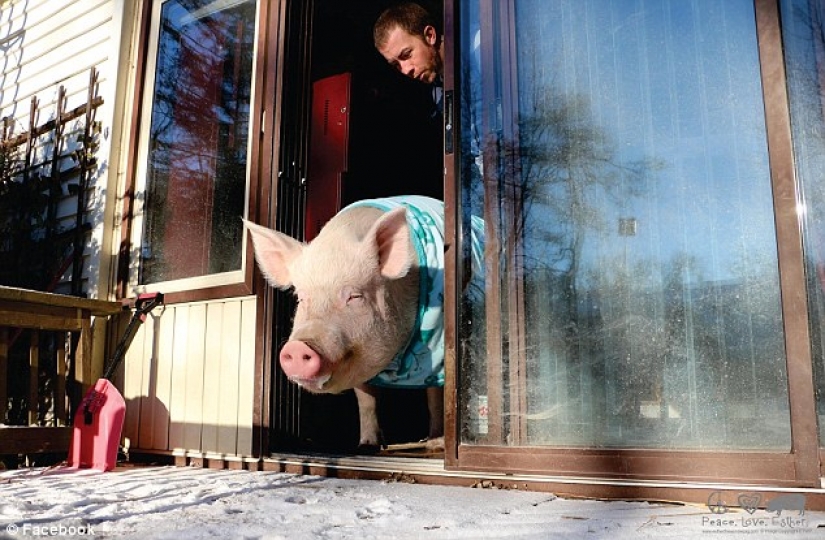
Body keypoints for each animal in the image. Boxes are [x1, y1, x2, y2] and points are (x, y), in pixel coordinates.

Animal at [243, 195, 470, 452]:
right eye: (301, 298)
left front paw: (436, 446)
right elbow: (366, 400)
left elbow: (435, 396)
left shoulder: (437, 347)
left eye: (354, 296)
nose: (298, 347)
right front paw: (367, 446)